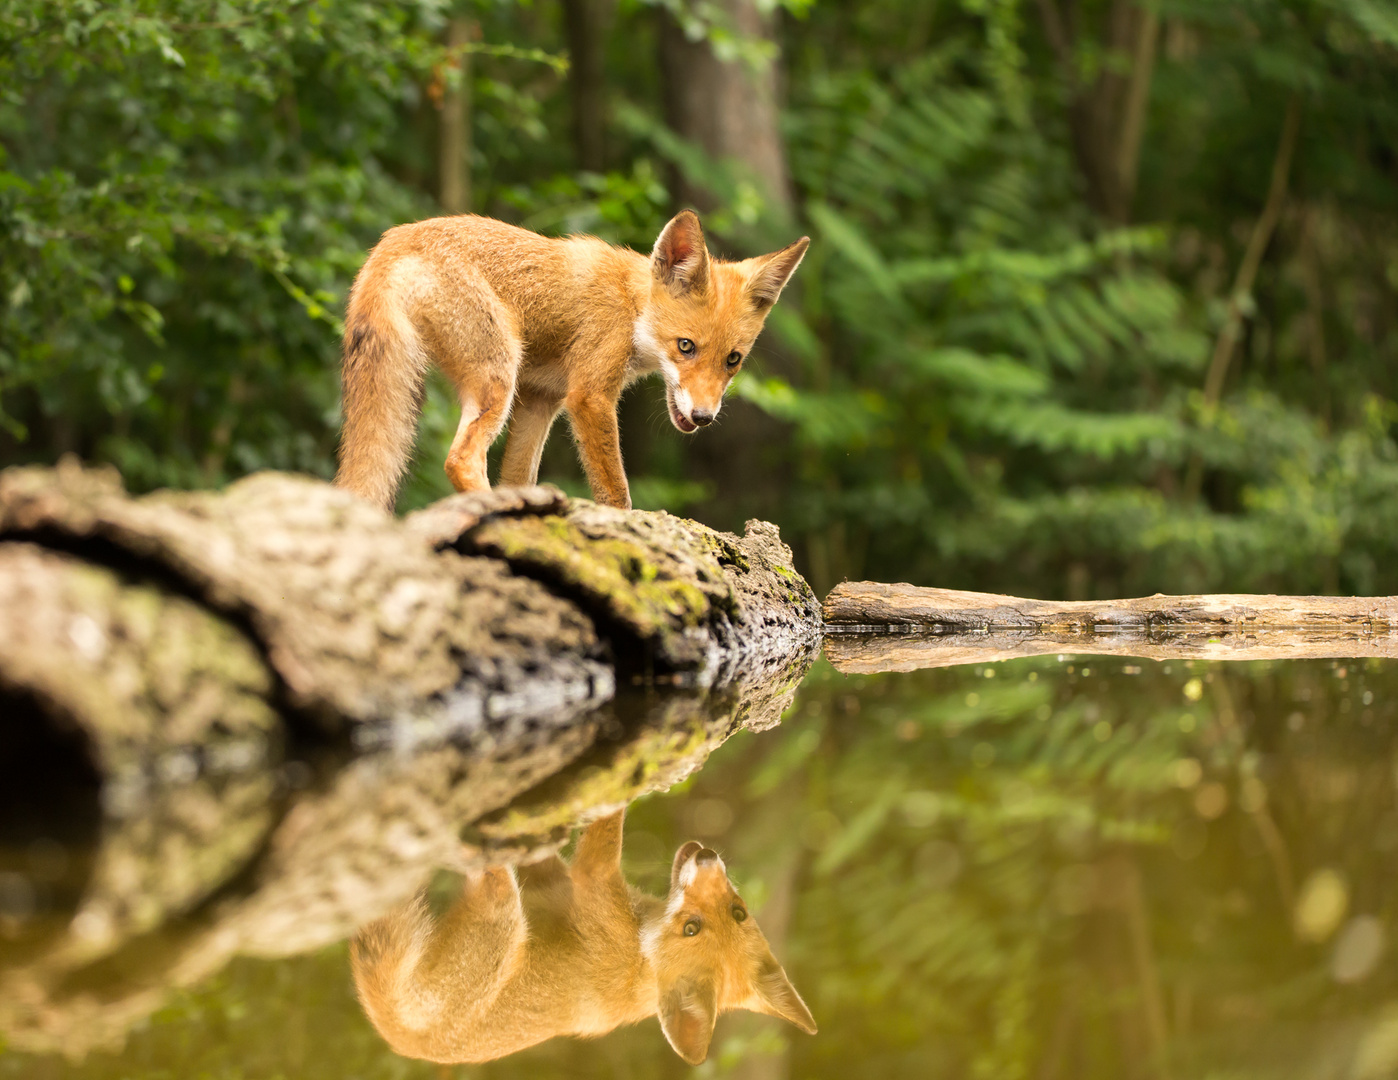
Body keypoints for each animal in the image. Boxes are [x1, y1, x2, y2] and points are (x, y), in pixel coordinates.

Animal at [332, 215, 810, 514]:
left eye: (733, 360)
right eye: (686, 346)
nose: (704, 416)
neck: (631, 306)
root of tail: (390, 243)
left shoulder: (540, 400)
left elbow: (519, 474)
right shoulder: (589, 396)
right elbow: (616, 494)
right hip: (497, 378)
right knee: (460, 461)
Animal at [349, 810, 816, 1061]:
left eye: (691, 928)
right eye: (740, 912)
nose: (706, 856)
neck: (638, 953)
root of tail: (397, 1034)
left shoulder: (592, 877)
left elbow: (608, 824)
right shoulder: (558, 880)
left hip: (502, 911)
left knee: (487, 874)